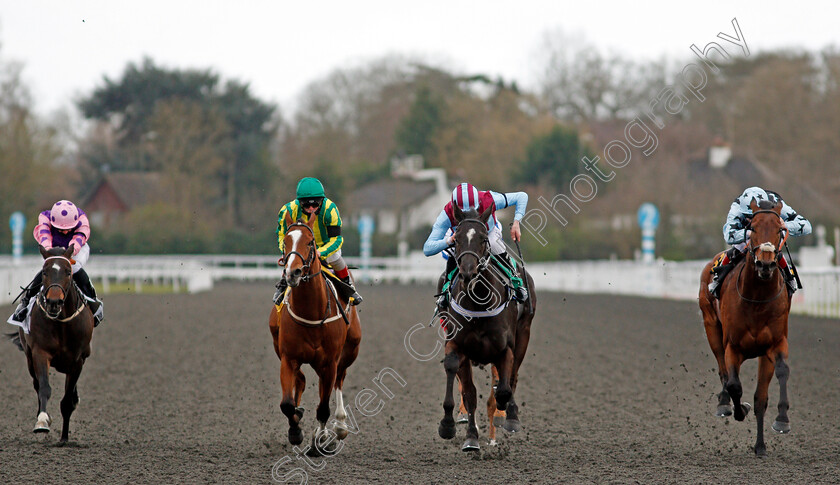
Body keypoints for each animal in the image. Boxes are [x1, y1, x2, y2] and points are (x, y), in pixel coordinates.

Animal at [9, 246, 94, 442]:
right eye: (45, 272)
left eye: (68, 272)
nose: (54, 302)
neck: (61, 321)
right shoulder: (40, 353)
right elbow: (44, 388)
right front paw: (42, 421)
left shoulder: (77, 360)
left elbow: (67, 401)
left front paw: (64, 438)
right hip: (29, 357)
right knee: (36, 384)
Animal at [270, 214, 360, 452]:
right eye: (286, 241)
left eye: (310, 242)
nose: (293, 272)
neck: (311, 311)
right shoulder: (288, 358)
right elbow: (286, 404)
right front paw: (295, 430)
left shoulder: (330, 361)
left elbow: (323, 408)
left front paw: (321, 439)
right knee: (302, 381)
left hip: (349, 352)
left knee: (338, 381)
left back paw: (340, 425)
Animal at [436, 204, 536, 450]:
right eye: (456, 239)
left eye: (483, 239)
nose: (467, 272)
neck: (479, 300)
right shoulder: (456, 344)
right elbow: (466, 389)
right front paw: (455, 429)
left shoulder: (505, 349)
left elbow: (504, 388)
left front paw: (504, 413)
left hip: (524, 333)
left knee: (513, 376)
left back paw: (509, 416)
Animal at [704, 197, 796, 454]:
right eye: (752, 228)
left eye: (779, 230)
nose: (765, 264)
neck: (756, 299)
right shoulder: (733, 347)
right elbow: (734, 384)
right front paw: (738, 409)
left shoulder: (775, 344)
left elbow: (771, 385)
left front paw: (780, 423)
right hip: (712, 328)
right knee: (723, 371)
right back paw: (725, 405)